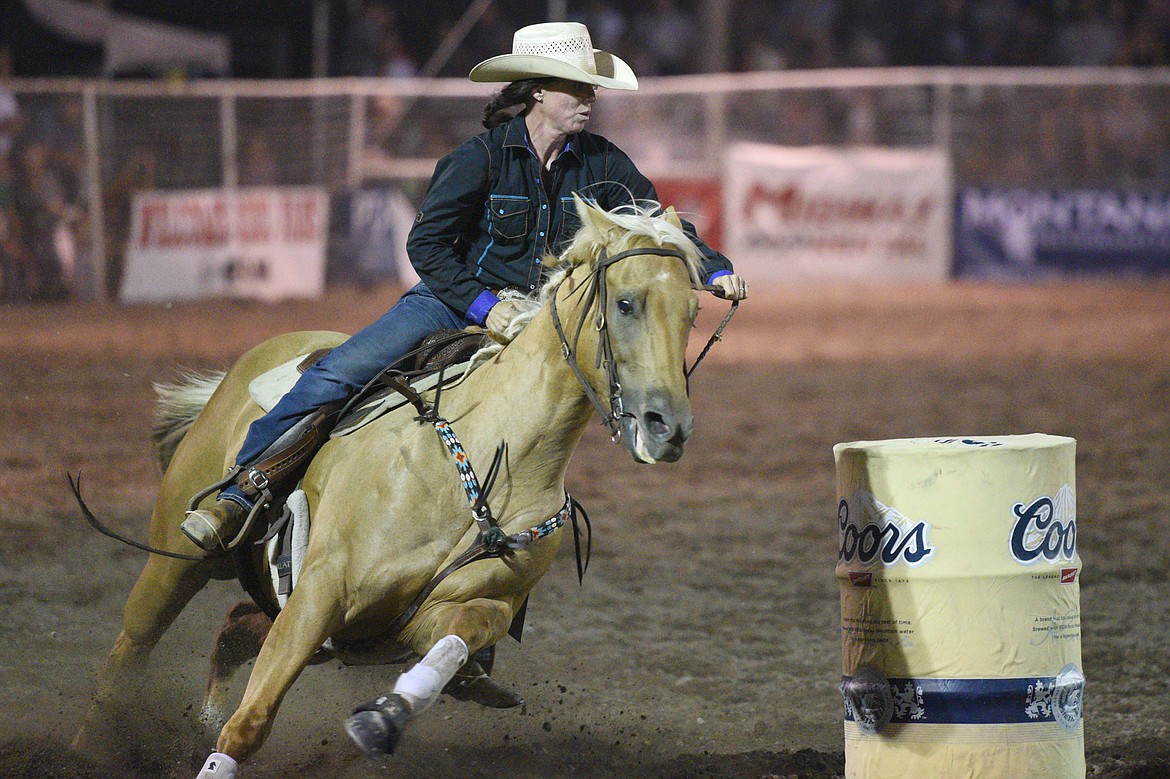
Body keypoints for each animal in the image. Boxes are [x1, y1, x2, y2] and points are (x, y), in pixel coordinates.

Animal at [70, 197, 711, 771]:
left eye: (691, 313)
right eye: (625, 303)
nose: (669, 427)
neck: (484, 460)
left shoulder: (446, 613)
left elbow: (455, 640)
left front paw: (383, 719)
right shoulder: (321, 591)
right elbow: (249, 724)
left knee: (234, 627)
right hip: (178, 557)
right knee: (131, 647)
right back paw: (90, 744)